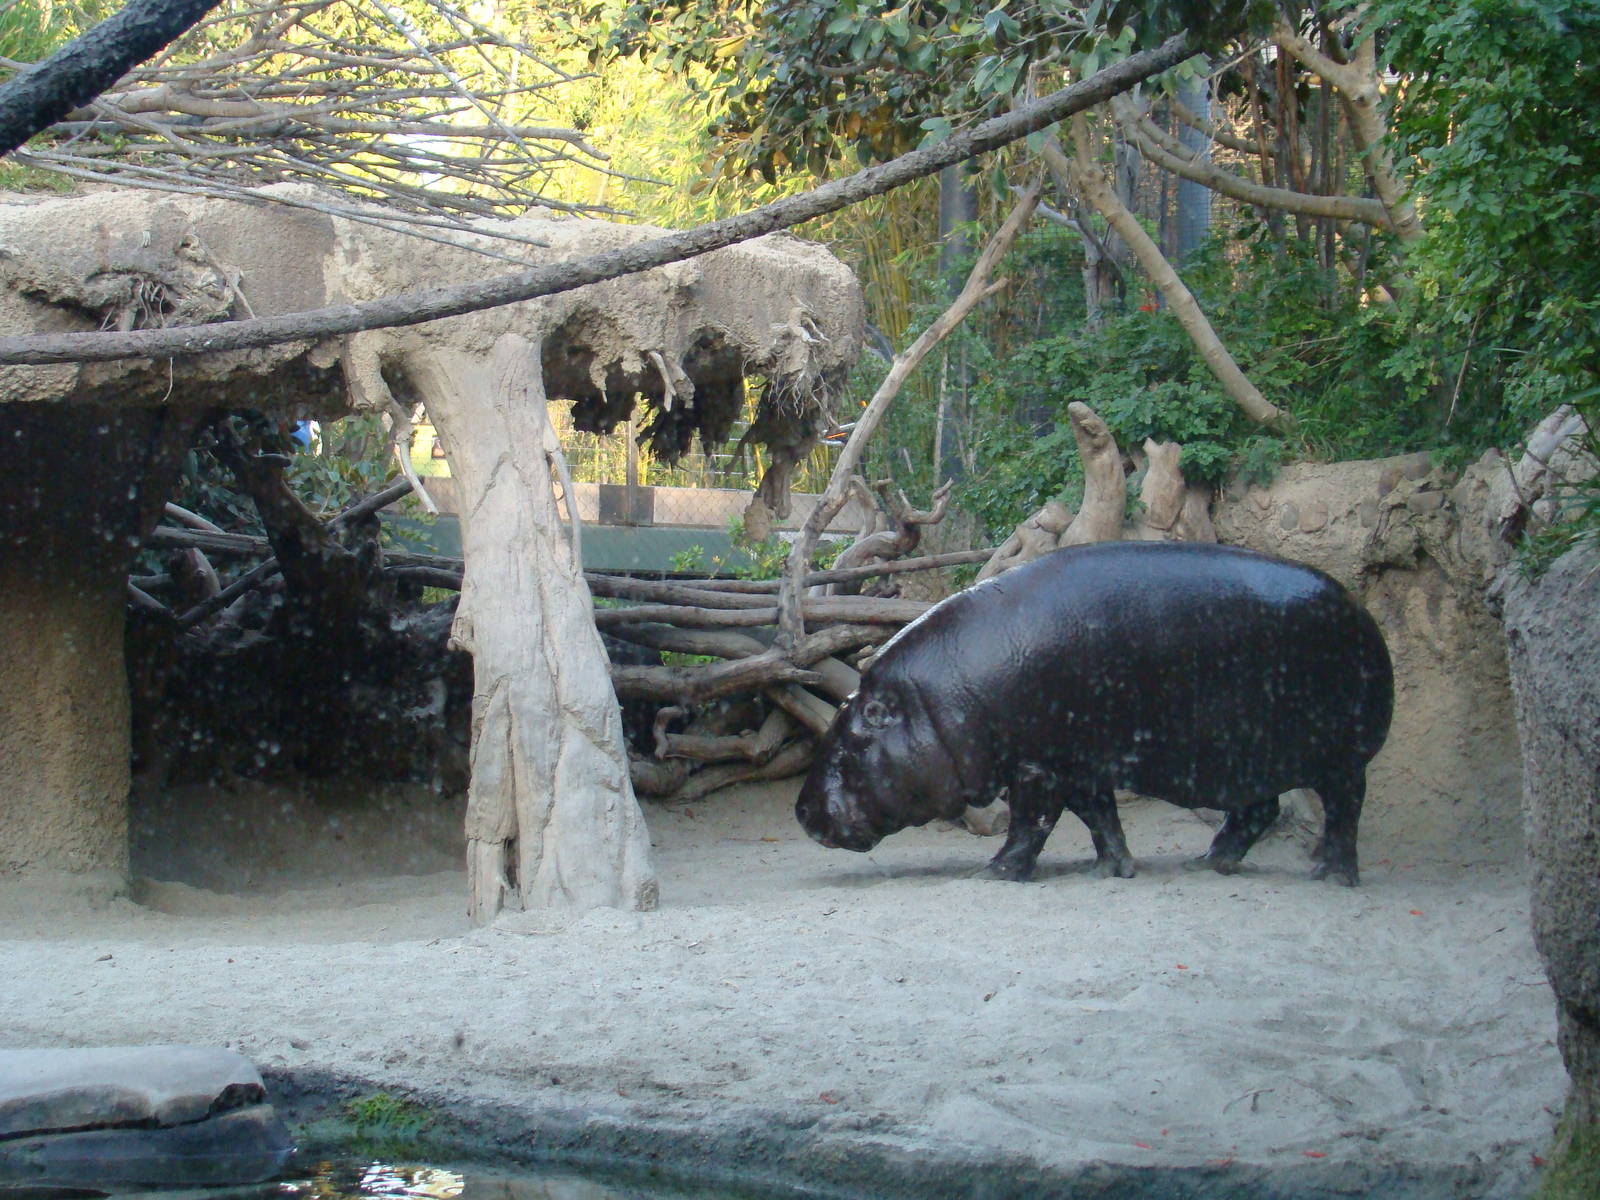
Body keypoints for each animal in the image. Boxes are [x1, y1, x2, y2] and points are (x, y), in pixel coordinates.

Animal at [796, 541, 1393, 885]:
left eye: (849, 745)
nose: (801, 813)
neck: (934, 701)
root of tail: (1360, 609)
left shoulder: (1037, 766)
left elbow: (1032, 822)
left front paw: (994, 873)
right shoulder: (1078, 762)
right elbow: (1099, 816)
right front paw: (1114, 869)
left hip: (1339, 760)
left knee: (1345, 812)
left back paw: (1329, 875)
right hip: (1248, 758)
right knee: (1257, 811)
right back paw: (1210, 862)